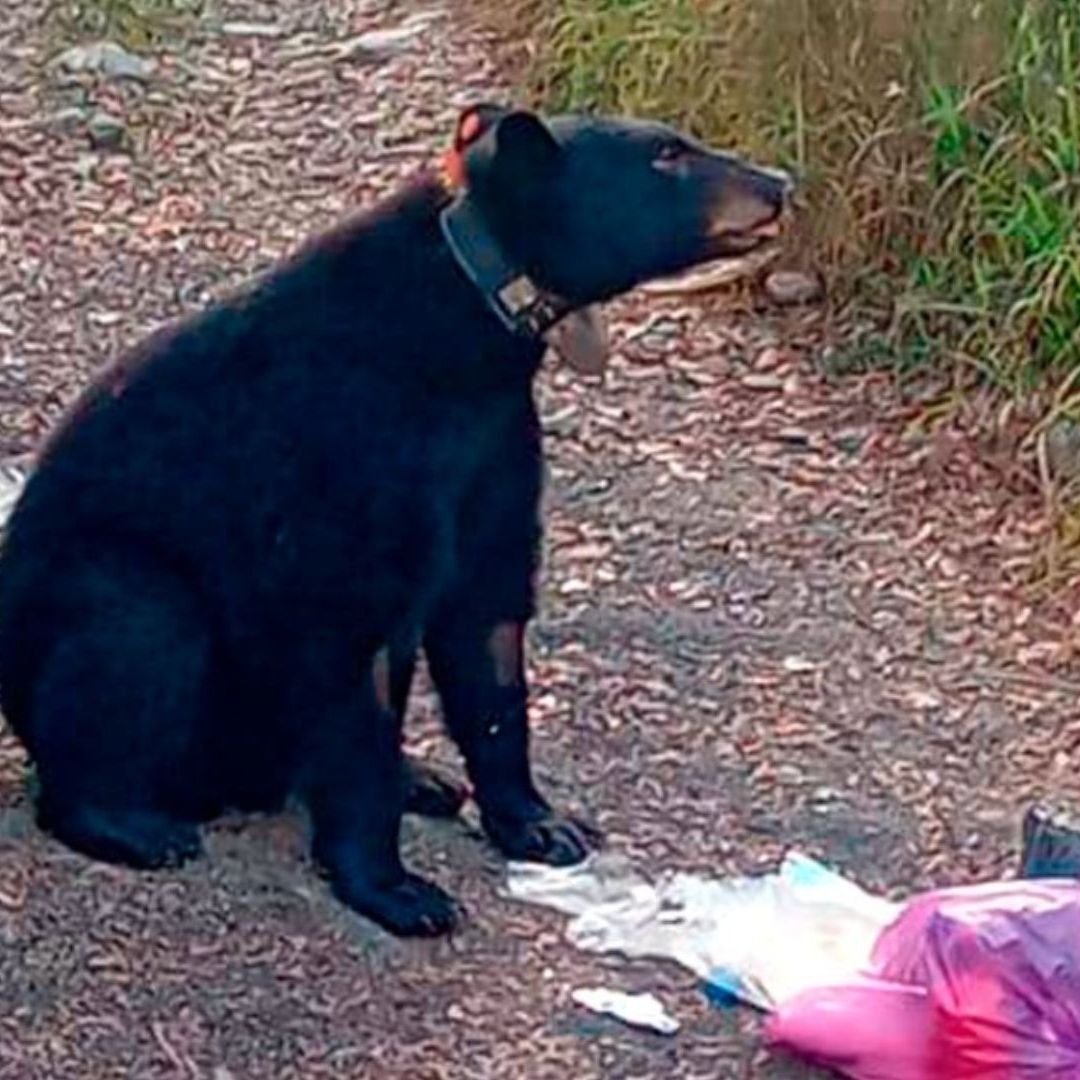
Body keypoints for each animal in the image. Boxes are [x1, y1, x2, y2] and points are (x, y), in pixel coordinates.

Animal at [0, 104, 789, 936]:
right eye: (668, 154)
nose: (779, 183)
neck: (471, 328)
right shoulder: (356, 454)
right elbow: (361, 646)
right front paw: (398, 890)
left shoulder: (494, 447)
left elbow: (489, 631)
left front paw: (539, 823)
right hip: (106, 591)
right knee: (133, 633)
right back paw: (130, 821)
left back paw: (426, 780)